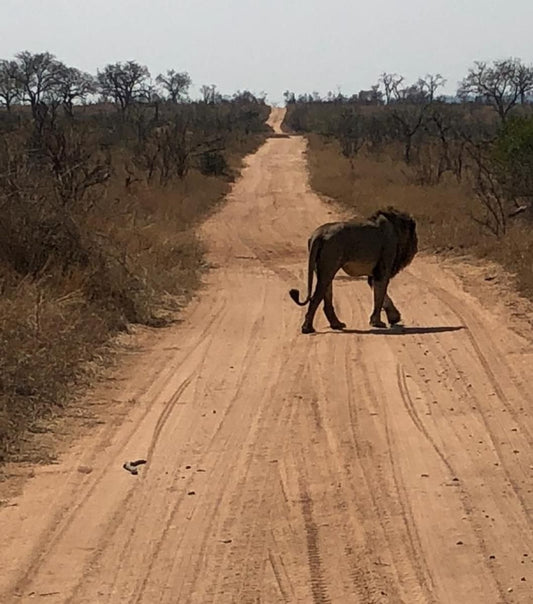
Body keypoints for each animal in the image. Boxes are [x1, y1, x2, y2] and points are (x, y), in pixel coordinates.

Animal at [288, 209, 418, 336]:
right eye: (415, 236)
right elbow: (380, 297)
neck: (396, 228)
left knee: (326, 299)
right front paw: (378, 322)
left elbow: (382, 296)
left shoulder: (374, 274)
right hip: (329, 265)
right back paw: (307, 328)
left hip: (321, 267)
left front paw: (393, 318)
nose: (416, 248)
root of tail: (318, 234)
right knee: (316, 298)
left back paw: (337, 324)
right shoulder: (383, 270)